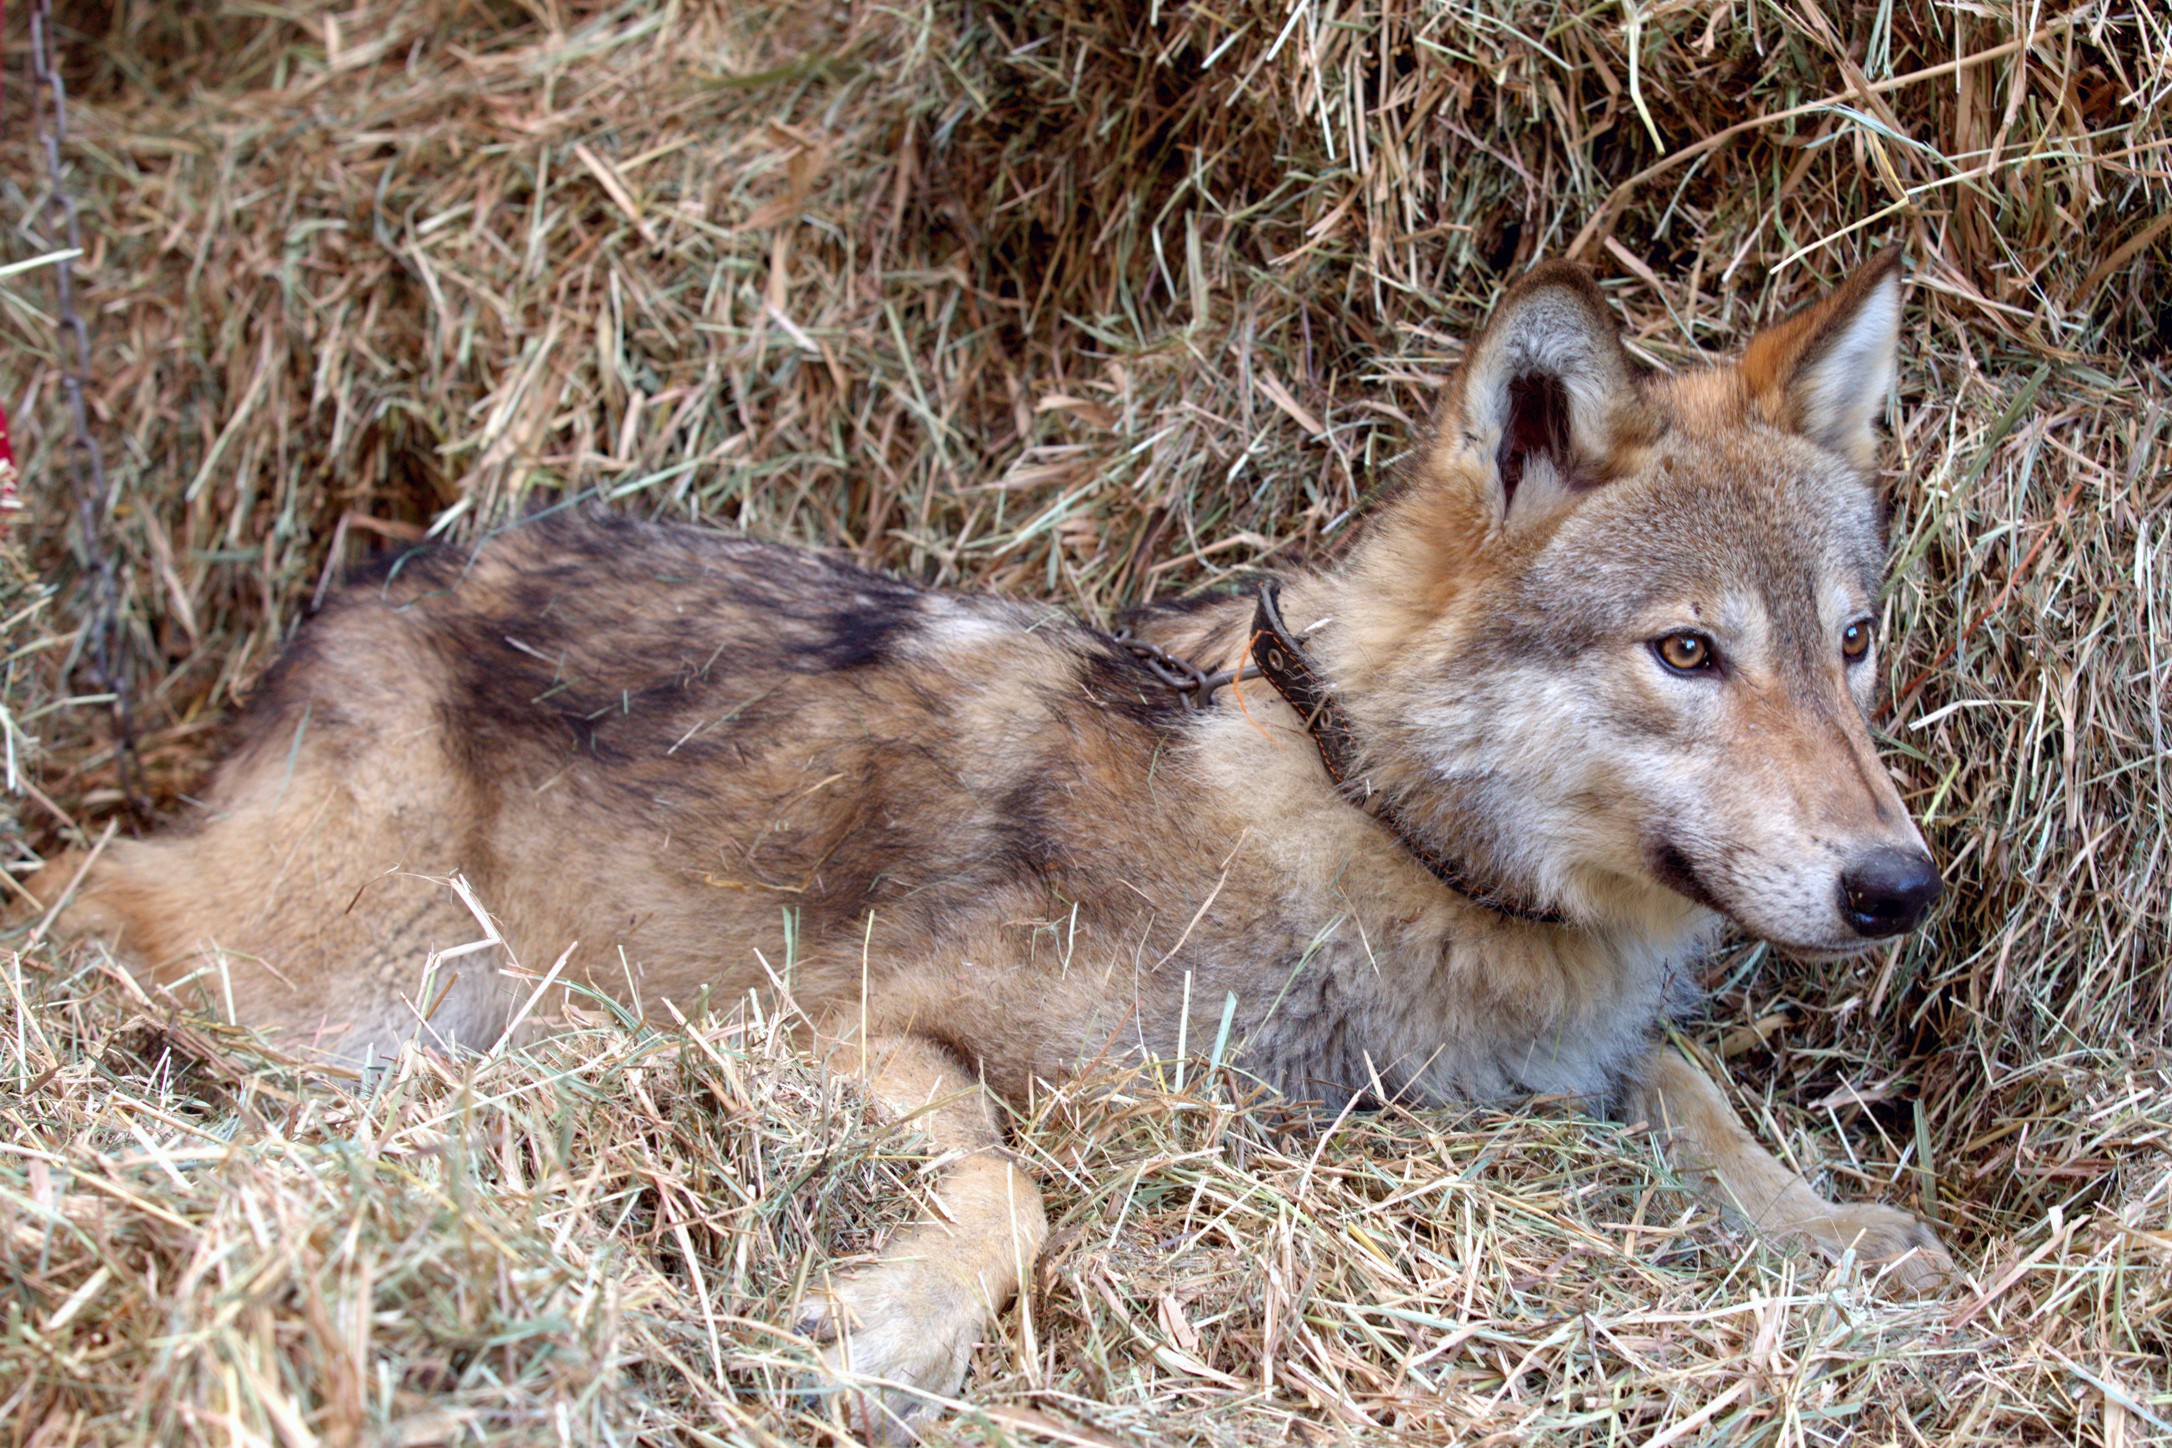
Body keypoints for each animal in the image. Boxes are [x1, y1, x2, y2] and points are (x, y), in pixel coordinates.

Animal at [29, 255, 1954, 1441]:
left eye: (1852, 643)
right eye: (1687, 651)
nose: (1902, 889)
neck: (1372, 827)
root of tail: (367, 584)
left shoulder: (1579, 1064)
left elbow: (1697, 1092)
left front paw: (1838, 1228)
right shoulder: (850, 1020)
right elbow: (1013, 1188)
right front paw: (879, 1330)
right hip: (346, 984)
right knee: (69, 891)